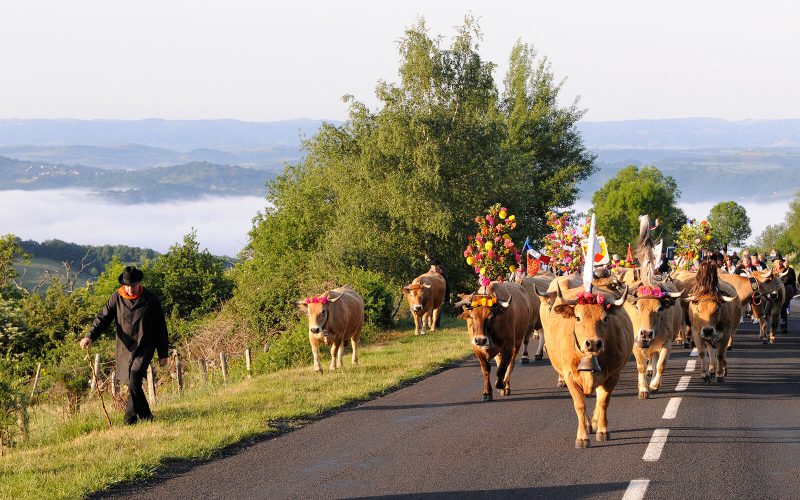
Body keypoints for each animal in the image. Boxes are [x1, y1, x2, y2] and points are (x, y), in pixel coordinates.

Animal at [548, 286, 636, 450]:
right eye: (577, 318)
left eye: (605, 318)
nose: (593, 343)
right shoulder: (569, 376)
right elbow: (580, 405)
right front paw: (582, 437)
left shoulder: (613, 375)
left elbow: (603, 402)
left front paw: (603, 430)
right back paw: (589, 424)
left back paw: (595, 422)